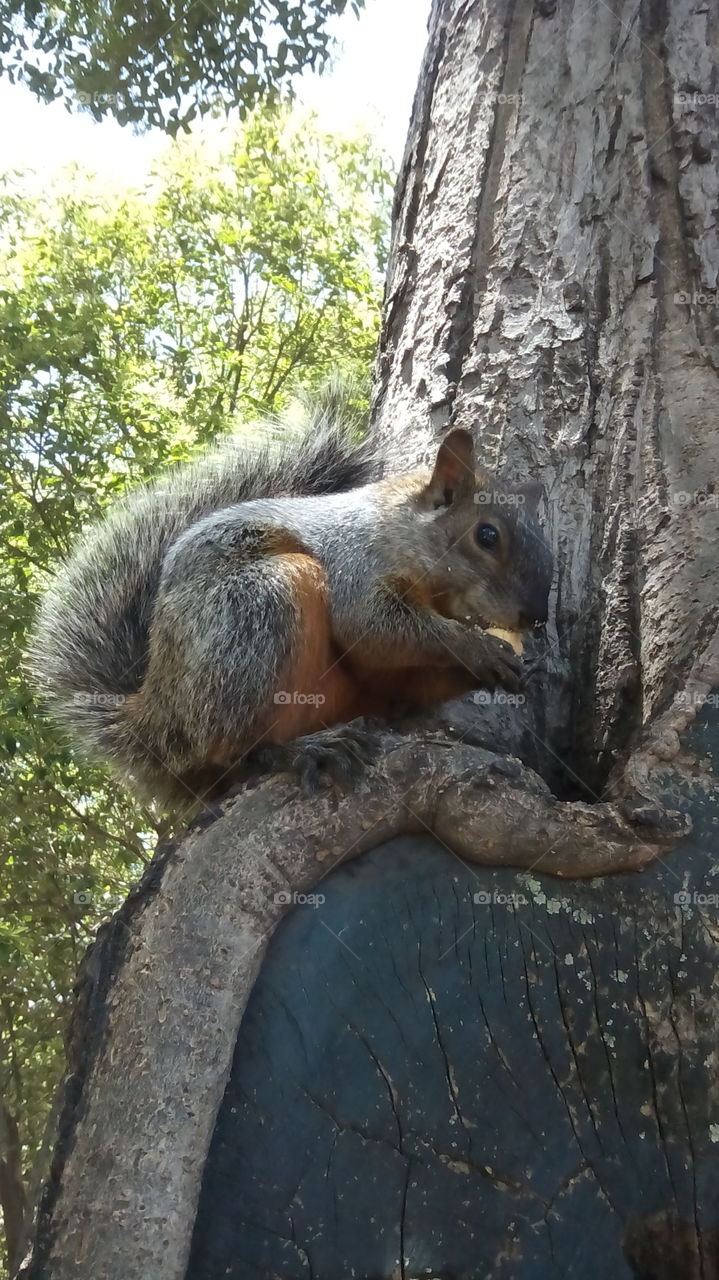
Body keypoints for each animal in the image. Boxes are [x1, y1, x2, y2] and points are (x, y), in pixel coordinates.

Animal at [28, 401, 553, 809]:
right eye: (487, 536)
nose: (536, 616)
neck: (401, 528)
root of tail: (159, 710)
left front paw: (519, 668)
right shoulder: (356, 564)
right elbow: (376, 630)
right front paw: (476, 647)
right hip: (258, 612)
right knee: (233, 751)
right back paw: (305, 751)